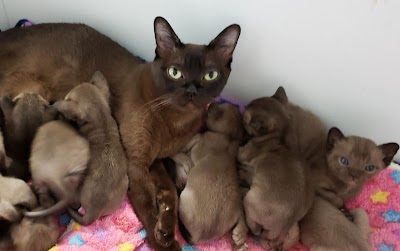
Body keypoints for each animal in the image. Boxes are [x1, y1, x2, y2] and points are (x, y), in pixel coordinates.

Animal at [174, 103, 247, 250]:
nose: (211, 103)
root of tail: (198, 238)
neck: (228, 136)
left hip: (184, 197)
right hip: (238, 206)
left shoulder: (196, 138)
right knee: (242, 216)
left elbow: (178, 153)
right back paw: (241, 237)